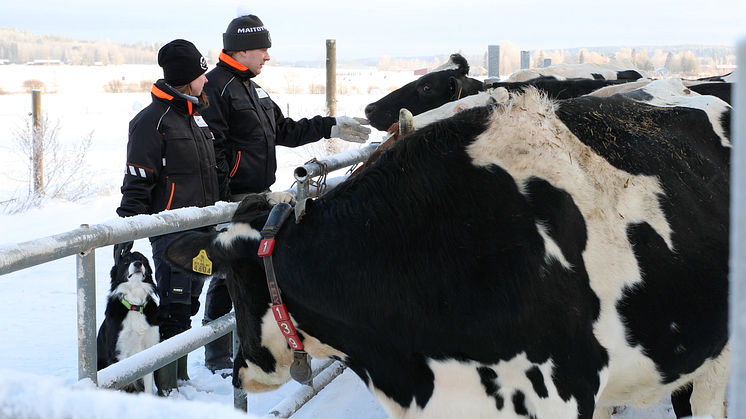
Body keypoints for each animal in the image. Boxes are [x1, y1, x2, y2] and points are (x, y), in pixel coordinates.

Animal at [96, 249, 159, 394]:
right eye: (126, 261)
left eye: (142, 259)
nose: (138, 264)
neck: (135, 306)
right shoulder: (118, 352)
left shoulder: (150, 347)